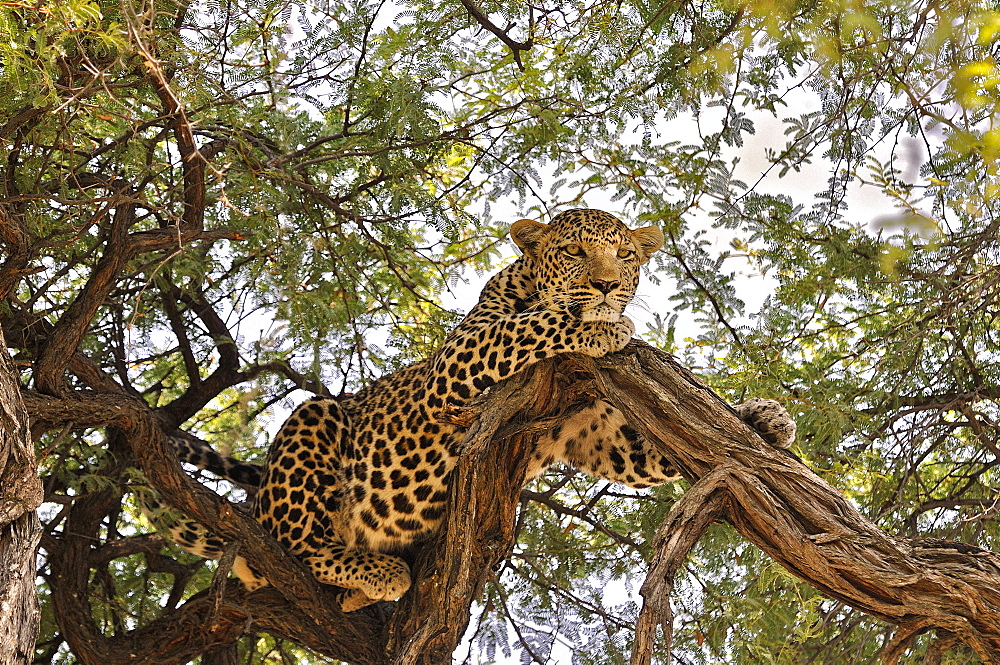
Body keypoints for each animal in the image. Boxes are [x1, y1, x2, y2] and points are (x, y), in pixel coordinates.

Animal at [148, 210, 792, 608]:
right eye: (575, 251)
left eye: (626, 254)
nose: (611, 286)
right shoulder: (456, 365)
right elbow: (533, 326)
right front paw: (601, 324)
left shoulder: (593, 435)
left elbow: (644, 451)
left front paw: (766, 417)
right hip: (315, 423)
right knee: (295, 542)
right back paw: (374, 570)